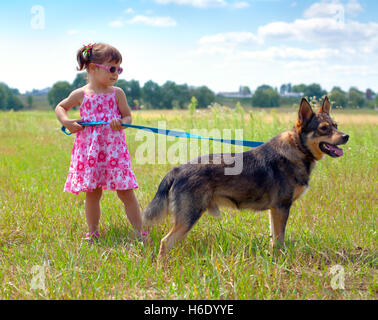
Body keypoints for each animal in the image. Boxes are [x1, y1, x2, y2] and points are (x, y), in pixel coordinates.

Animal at [143, 96, 350, 256]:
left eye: (336, 125)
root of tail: (178, 169)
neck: (298, 148)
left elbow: (274, 238)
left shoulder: (274, 210)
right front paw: (282, 258)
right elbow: (280, 238)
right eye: (324, 128)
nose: (346, 136)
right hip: (189, 217)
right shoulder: (281, 207)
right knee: (165, 242)